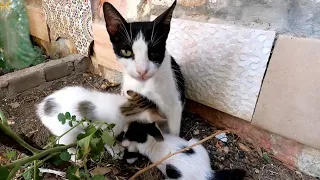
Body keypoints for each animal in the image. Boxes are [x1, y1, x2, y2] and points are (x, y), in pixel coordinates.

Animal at [102, 0, 185, 136]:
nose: (142, 71)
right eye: (126, 52)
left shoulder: (175, 105)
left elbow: (174, 131)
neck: (144, 85)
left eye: (154, 52)